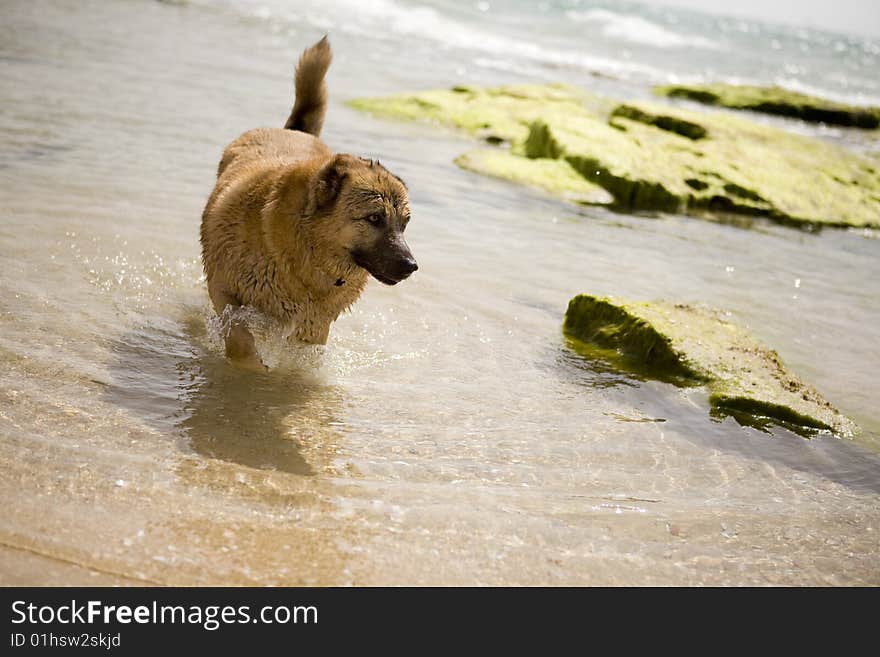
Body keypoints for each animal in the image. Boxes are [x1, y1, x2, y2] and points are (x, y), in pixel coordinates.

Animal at [201, 36, 418, 366]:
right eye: (374, 218)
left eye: (404, 223)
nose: (411, 266)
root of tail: (294, 130)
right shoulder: (225, 289)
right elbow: (239, 337)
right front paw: (250, 366)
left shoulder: (314, 324)